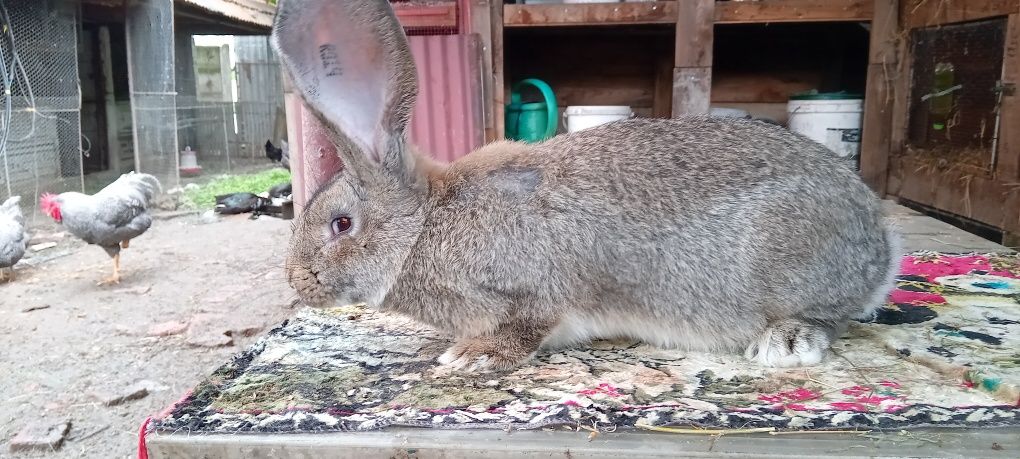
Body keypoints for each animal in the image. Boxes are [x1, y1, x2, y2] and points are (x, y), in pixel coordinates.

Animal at [273, 0, 901, 371]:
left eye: (341, 224)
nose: (298, 282)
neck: (425, 223)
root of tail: (882, 243)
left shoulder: (531, 293)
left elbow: (524, 329)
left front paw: (471, 356)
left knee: (832, 315)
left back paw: (786, 343)